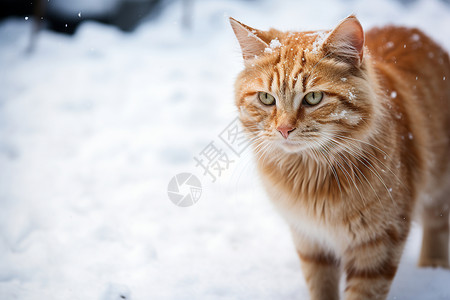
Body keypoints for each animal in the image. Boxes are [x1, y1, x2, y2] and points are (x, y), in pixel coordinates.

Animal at [230, 14, 448, 300]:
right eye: (266, 98)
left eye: (313, 97)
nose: (284, 129)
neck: (311, 178)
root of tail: (414, 32)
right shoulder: (310, 241)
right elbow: (321, 287)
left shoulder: (378, 245)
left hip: (438, 187)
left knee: (437, 225)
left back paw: (432, 269)